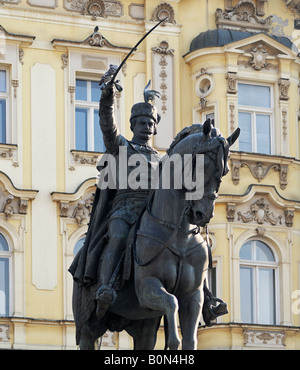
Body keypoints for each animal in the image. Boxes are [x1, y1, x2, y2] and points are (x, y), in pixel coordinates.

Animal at [72, 120, 239, 350]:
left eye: (224, 170)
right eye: (202, 165)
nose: (203, 213)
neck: (179, 235)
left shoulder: (192, 295)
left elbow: (190, 339)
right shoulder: (147, 287)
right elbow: (171, 304)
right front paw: (172, 341)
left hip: (143, 324)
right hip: (89, 325)